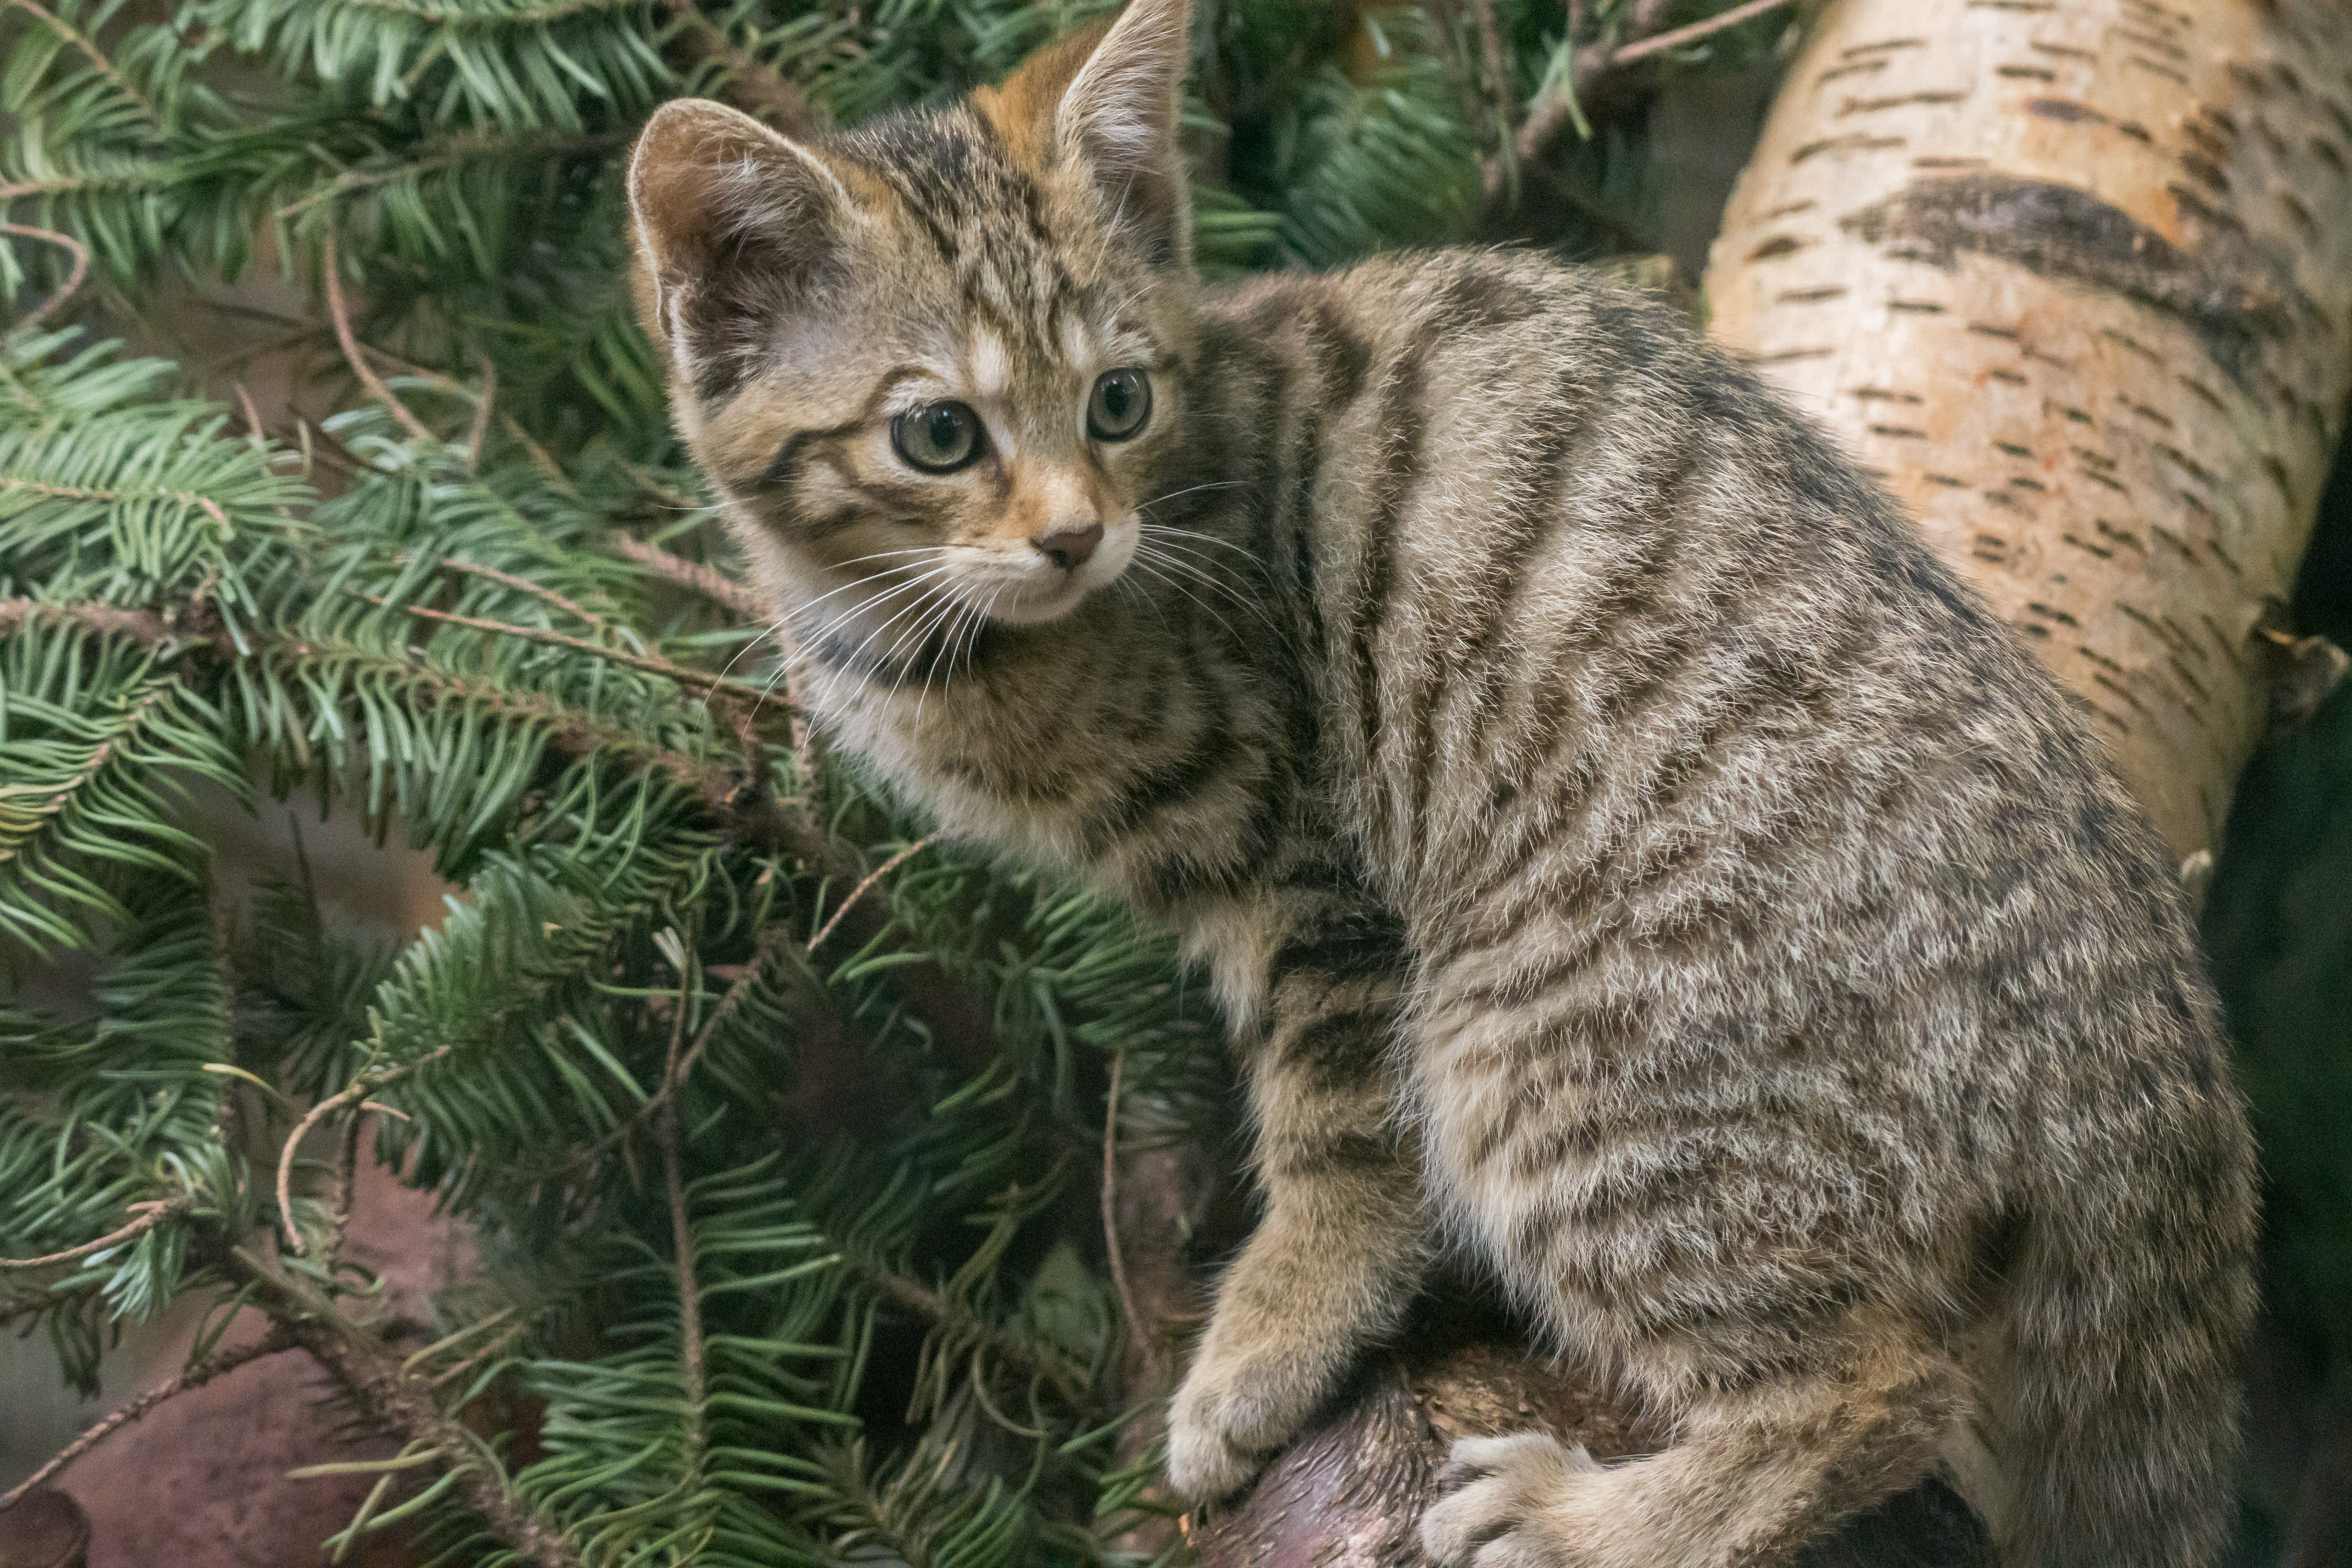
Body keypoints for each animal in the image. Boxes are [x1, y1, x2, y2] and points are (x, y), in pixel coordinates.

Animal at [626, 6, 2258, 1561]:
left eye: (1117, 403)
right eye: (939, 433)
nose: (1075, 535)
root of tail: (2148, 1042)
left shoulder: (1303, 847)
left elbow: (1339, 1125)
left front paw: (1266, 1341)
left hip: (1546, 1050)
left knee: (1878, 1388)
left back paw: (1599, 1526)